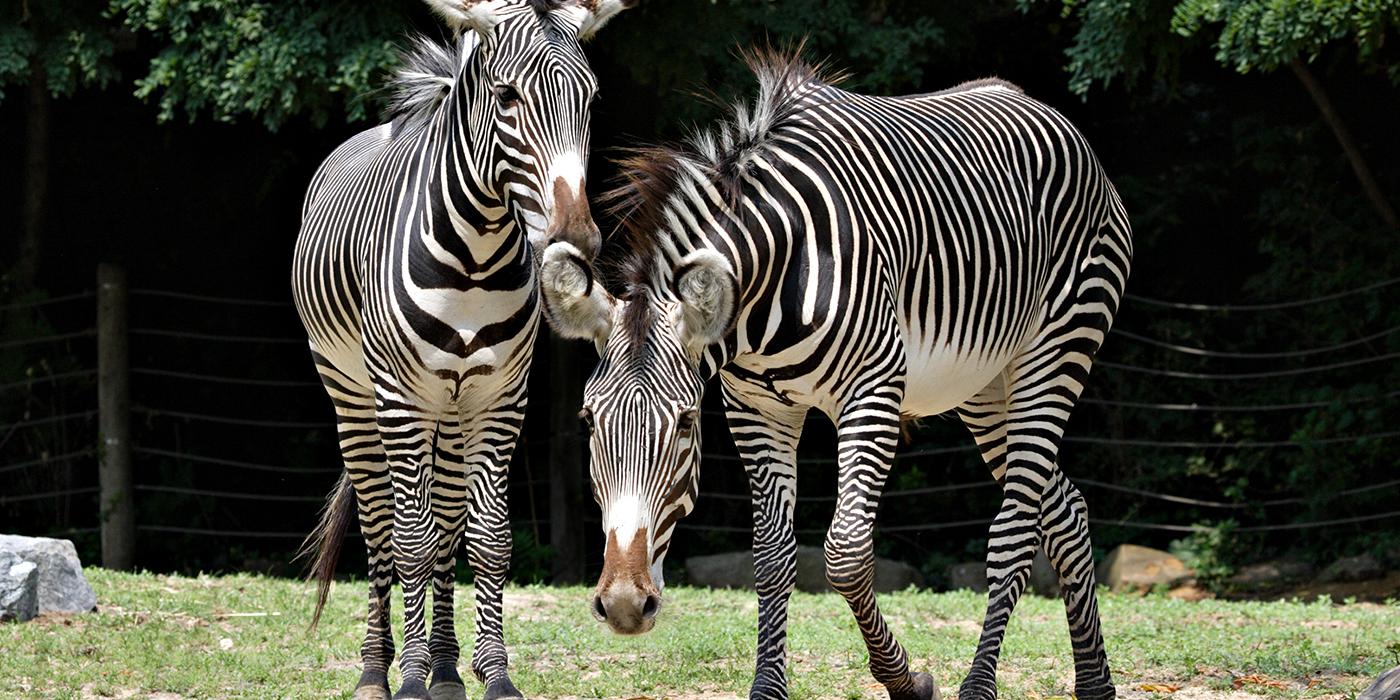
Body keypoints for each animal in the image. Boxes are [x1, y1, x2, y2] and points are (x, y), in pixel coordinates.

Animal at [295, 1, 635, 700]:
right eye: (506, 97)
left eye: (589, 97)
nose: (577, 238)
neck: (475, 261)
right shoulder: (400, 400)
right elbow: (409, 540)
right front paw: (409, 677)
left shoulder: (501, 399)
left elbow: (486, 539)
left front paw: (491, 673)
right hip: (354, 396)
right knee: (379, 523)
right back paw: (378, 670)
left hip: (452, 411)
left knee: (448, 518)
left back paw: (448, 668)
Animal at [540, 49, 1131, 700]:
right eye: (588, 421)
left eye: (688, 424)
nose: (624, 605)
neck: (769, 281)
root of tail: (1033, 103)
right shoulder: (756, 408)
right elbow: (773, 557)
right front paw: (767, 688)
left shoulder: (873, 390)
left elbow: (845, 553)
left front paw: (906, 680)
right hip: (983, 387)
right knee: (1066, 509)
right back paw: (1095, 681)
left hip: (1055, 352)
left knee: (1016, 530)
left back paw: (980, 683)